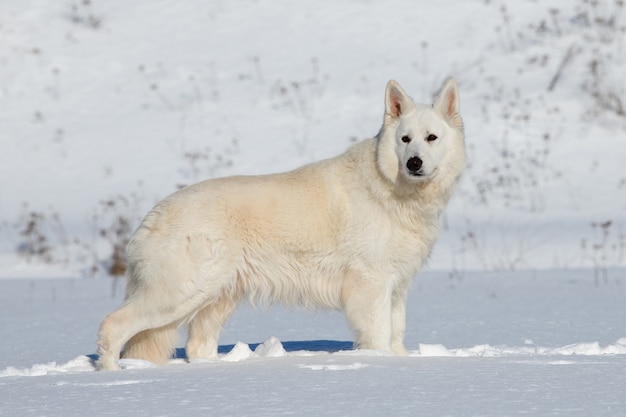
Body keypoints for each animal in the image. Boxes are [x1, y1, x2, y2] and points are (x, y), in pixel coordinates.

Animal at [96, 76, 464, 368]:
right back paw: (112, 374)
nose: (414, 163)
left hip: (216, 298)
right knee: (113, 325)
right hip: (181, 292)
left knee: (197, 346)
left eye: (431, 138)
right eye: (405, 139)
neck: (392, 189)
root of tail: (153, 214)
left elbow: (396, 332)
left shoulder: (396, 286)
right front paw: (384, 362)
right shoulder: (370, 285)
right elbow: (380, 335)